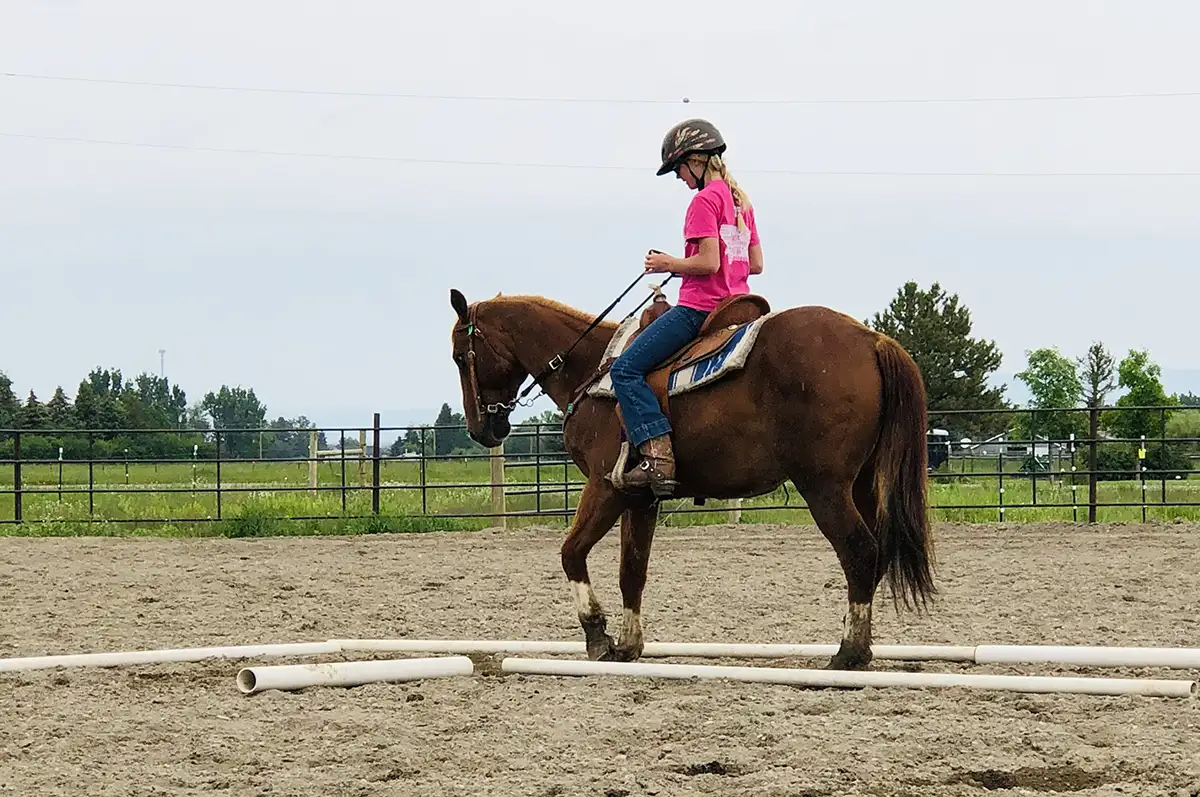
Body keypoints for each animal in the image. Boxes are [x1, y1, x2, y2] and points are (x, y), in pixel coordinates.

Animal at [447, 286, 936, 670]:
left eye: (457, 356)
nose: (481, 429)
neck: (591, 369)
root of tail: (873, 340)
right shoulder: (640, 497)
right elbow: (632, 569)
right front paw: (628, 646)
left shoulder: (605, 487)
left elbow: (572, 553)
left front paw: (598, 637)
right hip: (862, 484)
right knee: (874, 555)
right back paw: (859, 645)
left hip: (824, 488)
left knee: (859, 551)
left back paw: (848, 653)